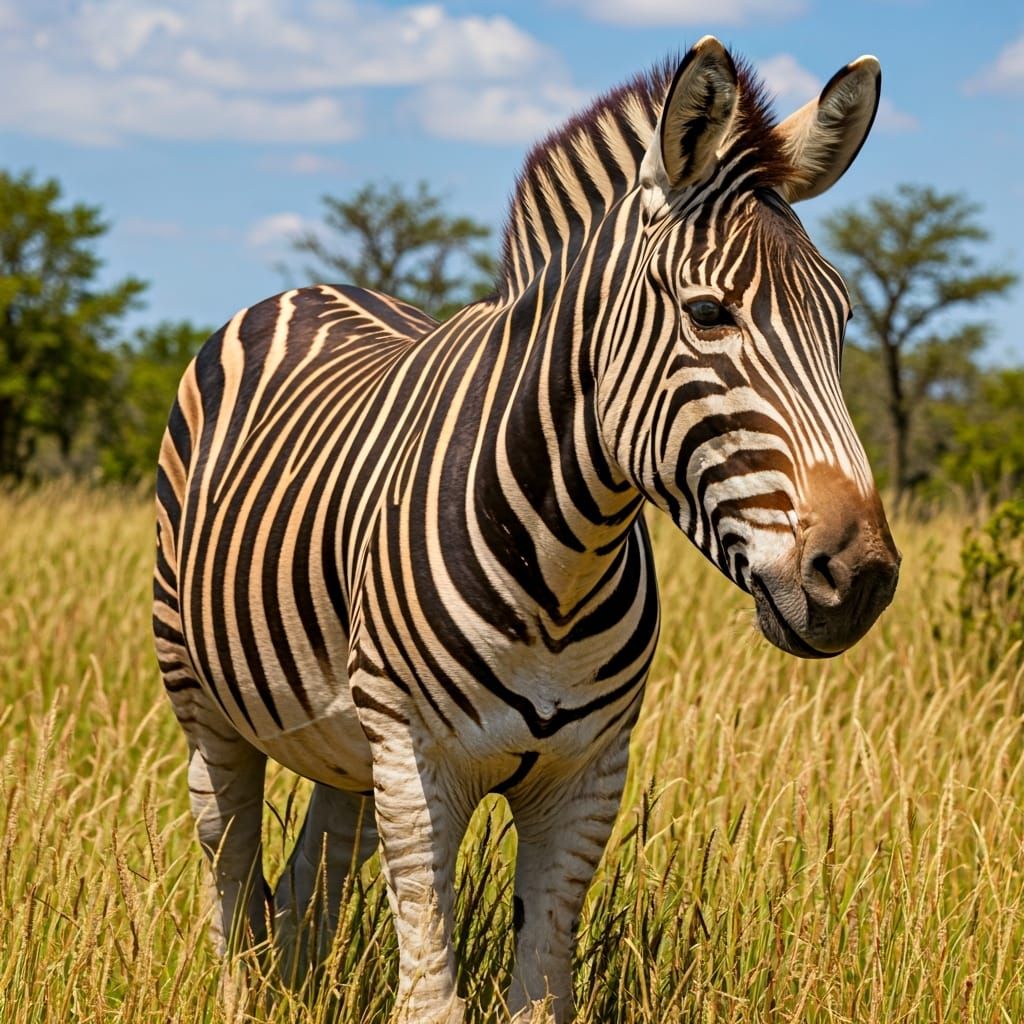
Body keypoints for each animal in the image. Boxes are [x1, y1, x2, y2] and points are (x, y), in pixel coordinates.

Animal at [153, 35, 899, 1024]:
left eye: (843, 320)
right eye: (708, 314)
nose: (859, 578)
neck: (563, 562)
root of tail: (311, 287)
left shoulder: (586, 779)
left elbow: (542, 993)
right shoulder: (418, 768)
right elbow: (431, 997)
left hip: (346, 737)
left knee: (318, 865)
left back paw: (301, 989)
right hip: (204, 696)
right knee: (229, 857)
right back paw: (246, 992)